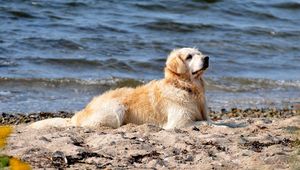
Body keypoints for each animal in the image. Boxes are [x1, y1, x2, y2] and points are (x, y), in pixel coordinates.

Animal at [29, 47, 210, 129]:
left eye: (199, 53)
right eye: (189, 56)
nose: (207, 57)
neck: (186, 87)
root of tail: (77, 115)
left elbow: (210, 120)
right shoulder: (179, 122)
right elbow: (206, 123)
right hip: (116, 108)